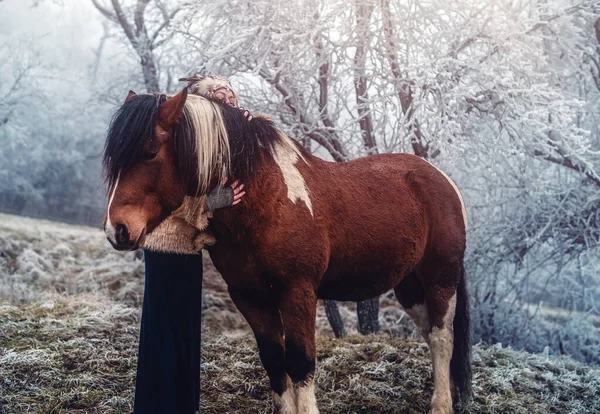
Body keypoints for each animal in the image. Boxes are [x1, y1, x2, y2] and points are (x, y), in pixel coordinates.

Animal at [101, 88, 472, 414]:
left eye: (150, 152)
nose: (116, 229)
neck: (267, 199)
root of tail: (442, 180)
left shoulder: (298, 292)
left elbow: (301, 363)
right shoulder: (250, 297)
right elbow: (275, 362)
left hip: (440, 280)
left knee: (443, 339)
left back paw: (441, 406)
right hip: (410, 287)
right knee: (433, 337)